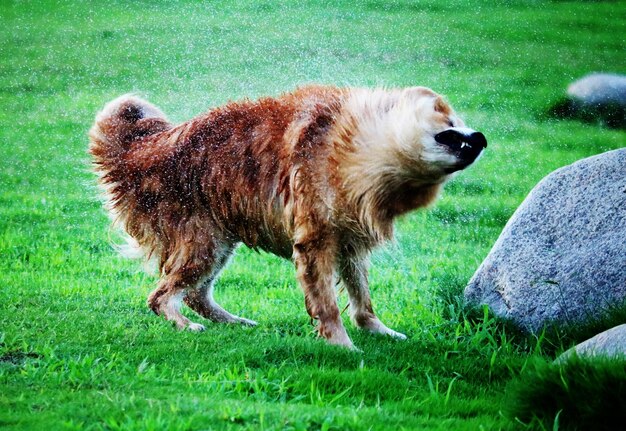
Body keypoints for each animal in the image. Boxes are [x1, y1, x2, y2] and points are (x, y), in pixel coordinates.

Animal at [90, 86, 486, 350]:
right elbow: (327, 305)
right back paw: (184, 324)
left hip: (219, 240)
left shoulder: (350, 241)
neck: (359, 145)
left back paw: (234, 321)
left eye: (456, 119)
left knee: (195, 295)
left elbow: (361, 297)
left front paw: (377, 329)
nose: (480, 138)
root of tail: (150, 148)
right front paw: (343, 346)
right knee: (160, 296)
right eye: (450, 127)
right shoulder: (315, 241)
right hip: (203, 242)